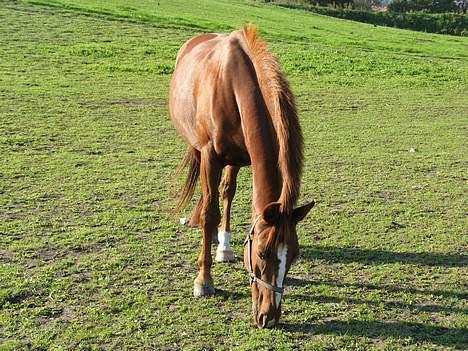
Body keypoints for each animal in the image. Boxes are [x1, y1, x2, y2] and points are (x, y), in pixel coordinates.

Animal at [169, 25, 314, 330]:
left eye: (294, 255)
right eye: (261, 253)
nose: (269, 316)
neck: (231, 84)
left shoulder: (240, 158)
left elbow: (227, 193)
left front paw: (224, 246)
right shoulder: (210, 155)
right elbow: (212, 210)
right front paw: (204, 280)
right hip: (197, 147)